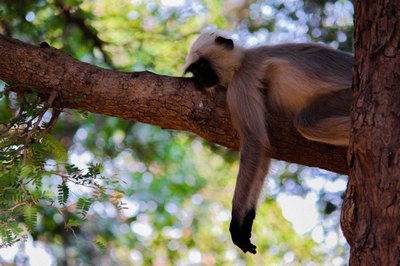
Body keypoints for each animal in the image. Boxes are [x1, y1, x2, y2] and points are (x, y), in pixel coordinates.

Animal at [183, 31, 352, 254]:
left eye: (203, 66)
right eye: (195, 71)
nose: (200, 79)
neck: (242, 61)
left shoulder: (241, 83)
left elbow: (254, 141)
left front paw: (236, 222)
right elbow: (263, 151)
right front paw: (247, 221)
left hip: (348, 97)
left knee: (307, 122)